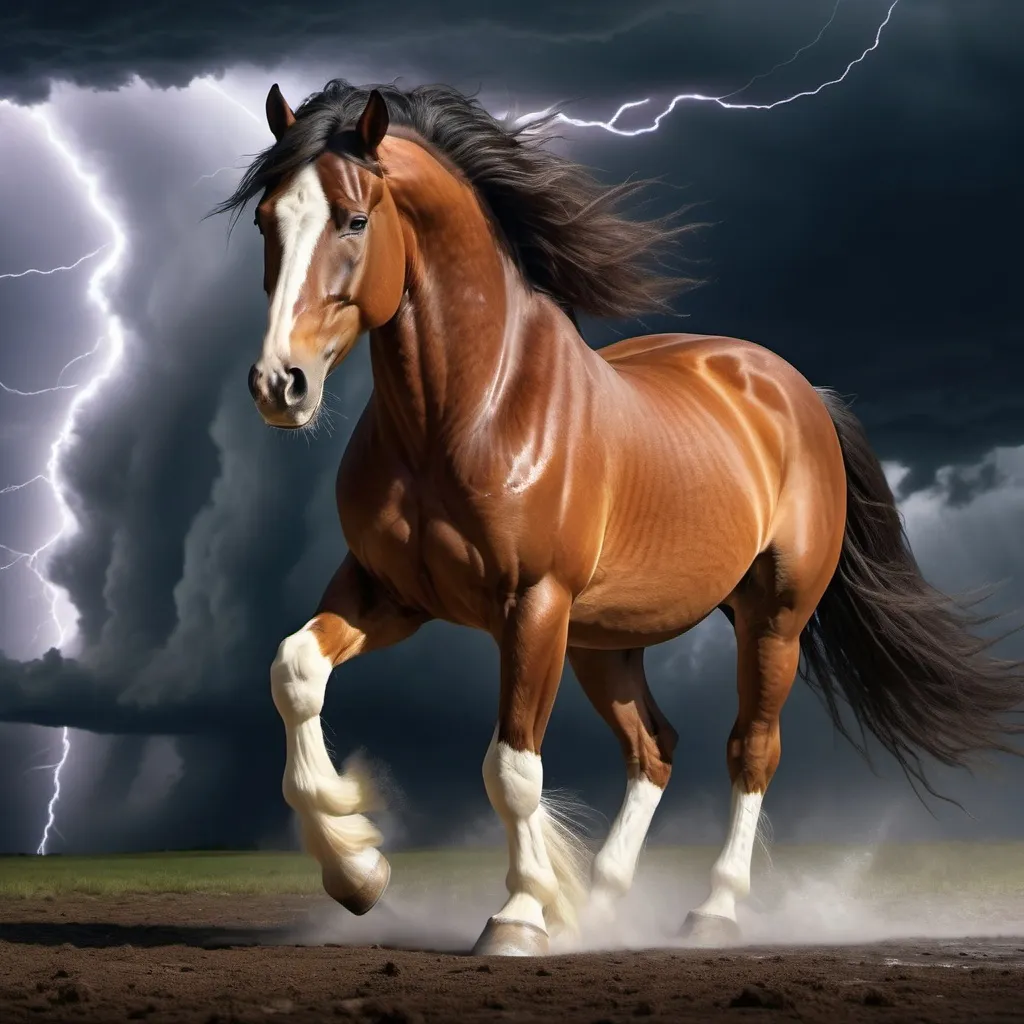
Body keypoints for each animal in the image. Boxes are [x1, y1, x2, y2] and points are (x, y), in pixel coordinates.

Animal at [211, 79, 1019, 958]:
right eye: (266, 220)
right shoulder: (390, 594)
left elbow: (512, 766)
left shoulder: (533, 605)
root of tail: (799, 391)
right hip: (605, 641)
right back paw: (602, 908)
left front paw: (519, 915)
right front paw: (358, 872)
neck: (469, 412)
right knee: (655, 748)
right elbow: (293, 672)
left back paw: (714, 911)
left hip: (770, 619)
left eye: (355, 220)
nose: (279, 384)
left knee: (751, 749)